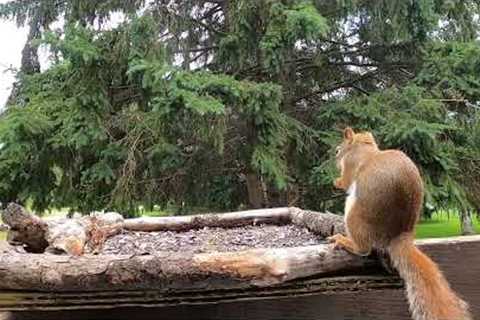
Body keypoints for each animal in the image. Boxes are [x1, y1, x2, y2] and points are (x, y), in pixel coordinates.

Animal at [328, 127, 470, 320]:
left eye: (337, 151)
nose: (334, 161)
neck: (364, 148)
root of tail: (398, 235)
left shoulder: (350, 165)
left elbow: (346, 181)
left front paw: (336, 181)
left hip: (354, 216)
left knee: (363, 248)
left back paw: (344, 240)